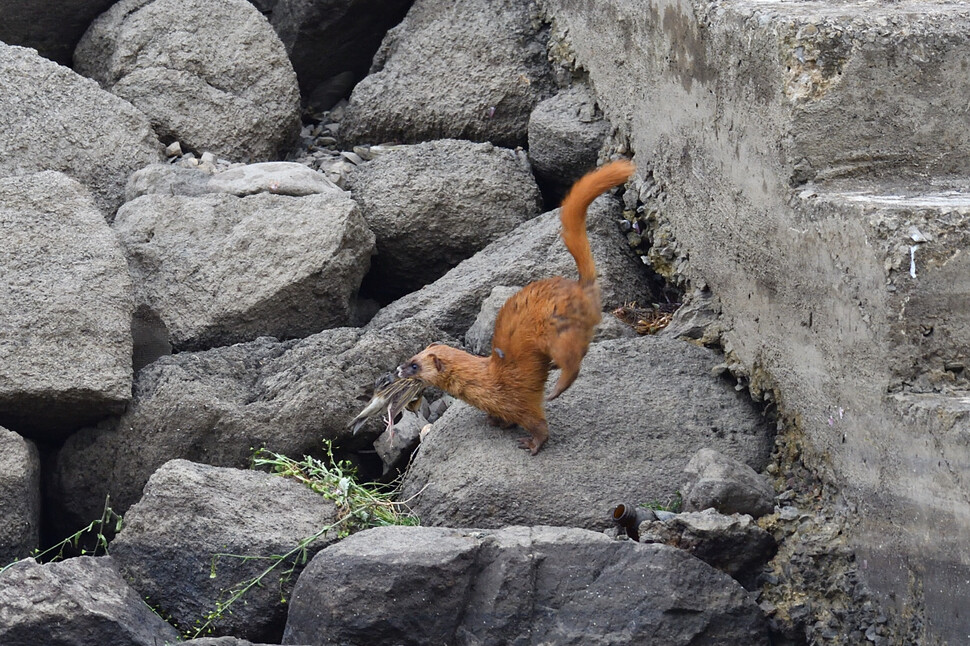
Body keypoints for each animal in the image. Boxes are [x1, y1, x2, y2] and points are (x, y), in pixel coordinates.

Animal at [396, 161, 636, 456]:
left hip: (559, 332)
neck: (482, 381)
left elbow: (537, 423)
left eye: (414, 365)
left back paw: (557, 387)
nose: (398, 369)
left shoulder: (518, 401)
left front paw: (531, 443)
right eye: (411, 356)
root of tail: (581, 286)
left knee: (574, 360)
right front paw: (495, 421)